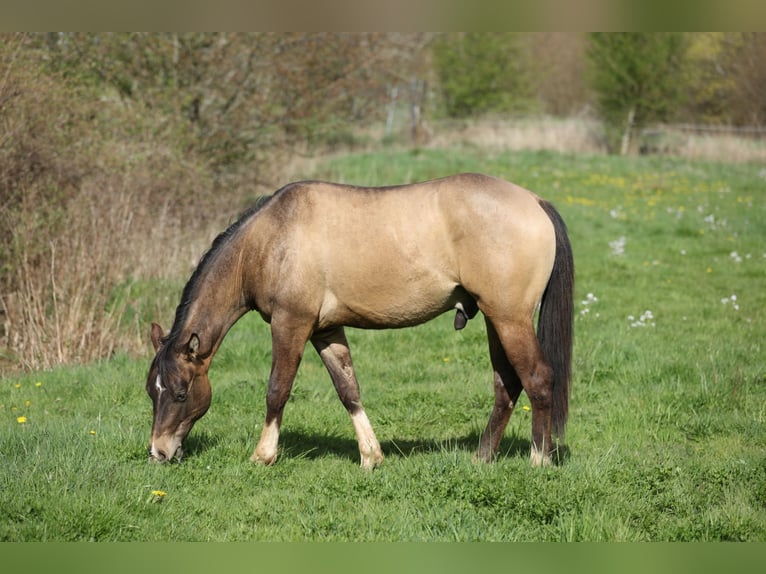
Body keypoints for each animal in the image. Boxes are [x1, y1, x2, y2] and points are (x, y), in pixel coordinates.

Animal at [145, 173, 574, 468]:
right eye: (152, 391)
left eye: (181, 393)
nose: (159, 452)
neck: (270, 240)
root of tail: (535, 201)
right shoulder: (325, 330)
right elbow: (348, 389)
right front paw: (371, 456)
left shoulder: (290, 324)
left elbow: (277, 390)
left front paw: (263, 456)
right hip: (494, 319)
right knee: (507, 385)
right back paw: (482, 458)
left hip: (510, 318)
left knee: (538, 379)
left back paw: (538, 460)